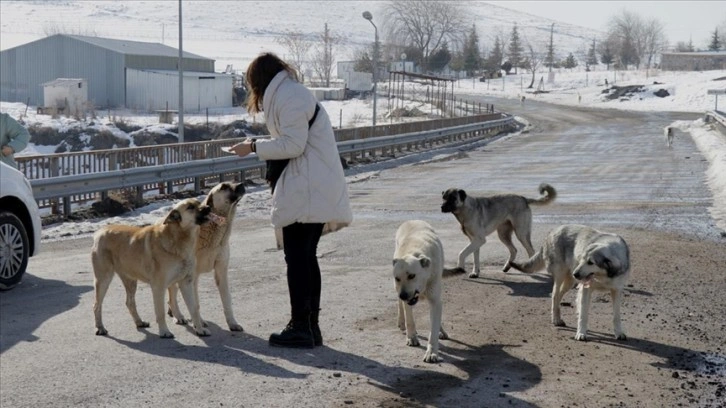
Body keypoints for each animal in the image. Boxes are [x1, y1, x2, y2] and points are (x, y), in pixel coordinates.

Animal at [92, 198, 212, 338]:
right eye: (190, 207)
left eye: (199, 203)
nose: (208, 207)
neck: (178, 238)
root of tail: (100, 231)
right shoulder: (158, 287)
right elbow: (160, 312)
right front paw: (164, 331)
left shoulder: (186, 283)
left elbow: (194, 309)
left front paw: (199, 329)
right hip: (103, 280)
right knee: (97, 305)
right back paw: (100, 328)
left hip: (131, 281)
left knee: (129, 302)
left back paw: (139, 322)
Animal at [392, 220, 450, 364]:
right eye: (397, 278)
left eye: (412, 276)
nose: (403, 295)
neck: (415, 252)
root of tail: (412, 220)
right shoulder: (404, 295)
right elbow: (410, 319)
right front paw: (411, 337)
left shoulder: (435, 300)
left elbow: (433, 329)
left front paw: (432, 352)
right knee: (400, 306)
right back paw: (401, 322)